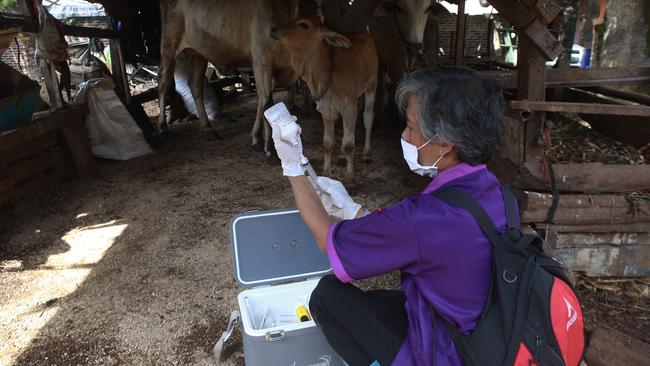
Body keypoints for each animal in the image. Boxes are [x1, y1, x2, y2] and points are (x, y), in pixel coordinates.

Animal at [157, 0, 298, 154]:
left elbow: (265, 99)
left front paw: (257, 138)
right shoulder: (262, 59)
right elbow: (267, 100)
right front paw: (269, 146)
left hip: (199, 53)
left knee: (194, 84)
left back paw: (207, 128)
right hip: (170, 42)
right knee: (163, 81)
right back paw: (162, 128)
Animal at [270, 16, 380, 179]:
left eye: (304, 25)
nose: (273, 29)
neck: (325, 73)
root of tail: (366, 33)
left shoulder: (349, 107)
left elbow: (349, 144)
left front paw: (349, 174)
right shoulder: (326, 109)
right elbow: (328, 143)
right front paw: (327, 172)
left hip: (372, 85)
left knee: (367, 117)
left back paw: (367, 153)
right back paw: (341, 156)